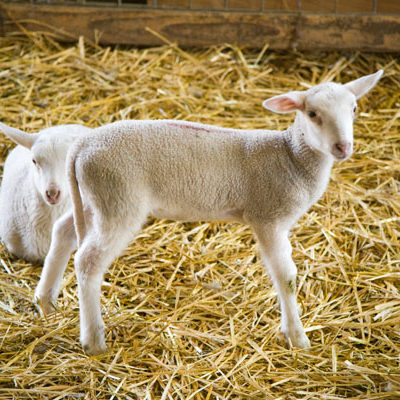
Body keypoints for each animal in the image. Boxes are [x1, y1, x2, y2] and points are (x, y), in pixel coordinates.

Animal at [36, 69, 382, 354]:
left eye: (353, 109)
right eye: (312, 113)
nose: (343, 147)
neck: (290, 156)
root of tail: (82, 146)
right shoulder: (267, 218)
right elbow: (286, 277)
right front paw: (297, 337)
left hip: (95, 199)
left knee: (63, 231)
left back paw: (45, 301)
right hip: (119, 200)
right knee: (88, 261)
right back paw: (93, 340)